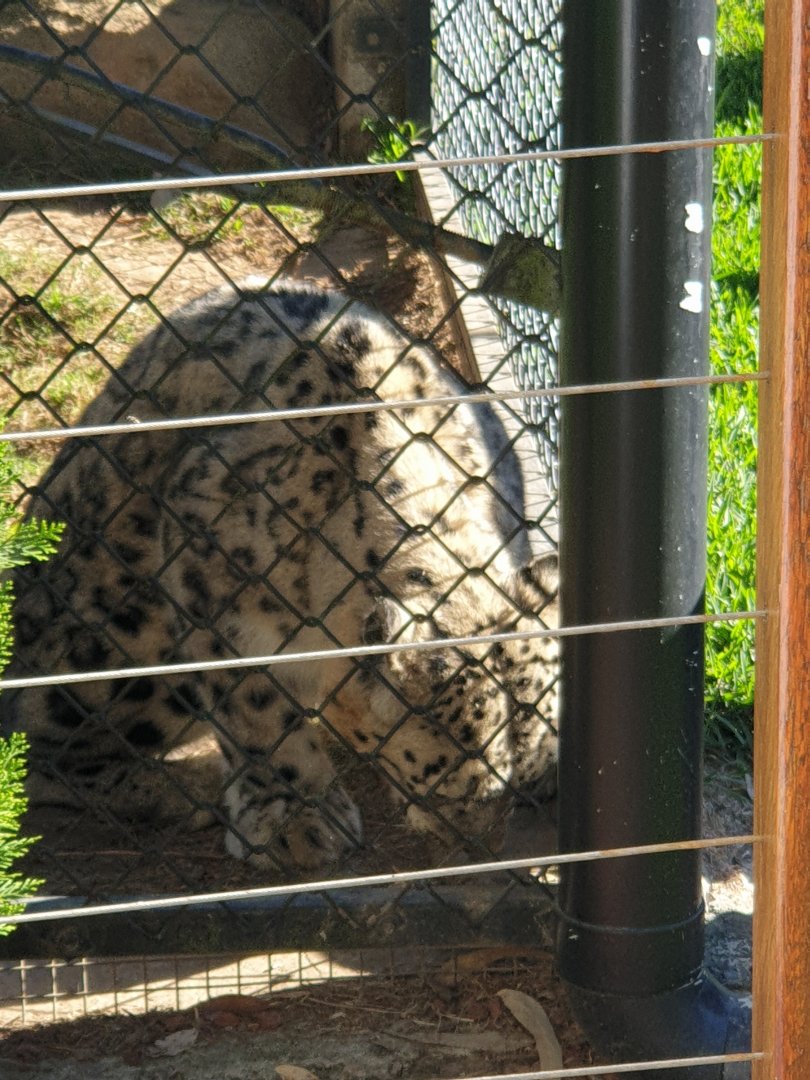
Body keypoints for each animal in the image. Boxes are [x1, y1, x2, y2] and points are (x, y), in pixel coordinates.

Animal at [3, 279, 559, 871]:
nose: (487, 850)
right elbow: (256, 706)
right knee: (39, 749)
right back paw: (191, 787)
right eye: (454, 791)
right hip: (123, 644)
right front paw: (297, 818)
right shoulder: (211, 582)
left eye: (529, 783)